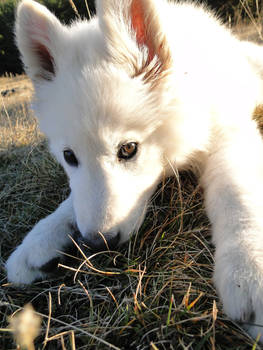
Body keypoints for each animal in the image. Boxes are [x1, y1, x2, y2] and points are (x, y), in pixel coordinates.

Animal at [5, 0, 263, 340]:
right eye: (69, 156)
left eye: (128, 149)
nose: (97, 244)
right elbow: (74, 201)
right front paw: (38, 239)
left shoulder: (228, 134)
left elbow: (236, 193)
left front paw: (247, 265)